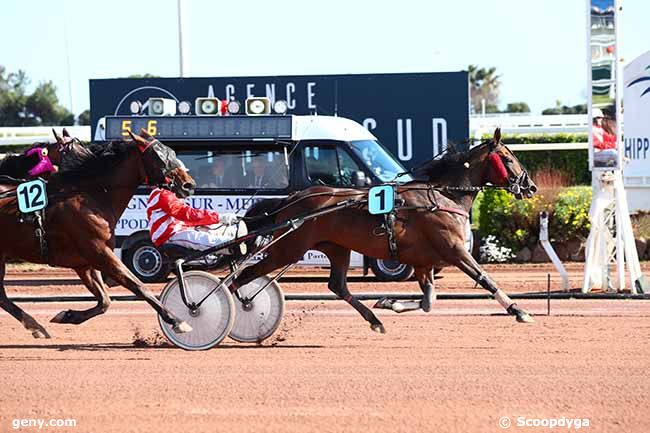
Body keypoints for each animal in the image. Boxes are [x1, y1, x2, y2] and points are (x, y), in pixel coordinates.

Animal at [0, 128, 196, 338]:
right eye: (159, 157)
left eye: (172, 152)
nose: (189, 185)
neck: (92, 196)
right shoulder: (99, 252)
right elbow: (138, 286)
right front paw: (176, 320)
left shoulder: (85, 263)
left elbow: (105, 301)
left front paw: (68, 315)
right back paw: (35, 326)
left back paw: (36, 326)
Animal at [235, 128, 536, 330]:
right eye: (508, 159)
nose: (531, 186)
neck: (442, 197)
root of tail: (292, 199)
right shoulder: (455, 251)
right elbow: (485, 278)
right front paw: (518, 310)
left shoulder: (423, 262)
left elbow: (428, 301)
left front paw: (389, 303)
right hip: (287, 249)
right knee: (244, 275)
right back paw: (238, 304)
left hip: (336, 248)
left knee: (338, 285)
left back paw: (375, 319)